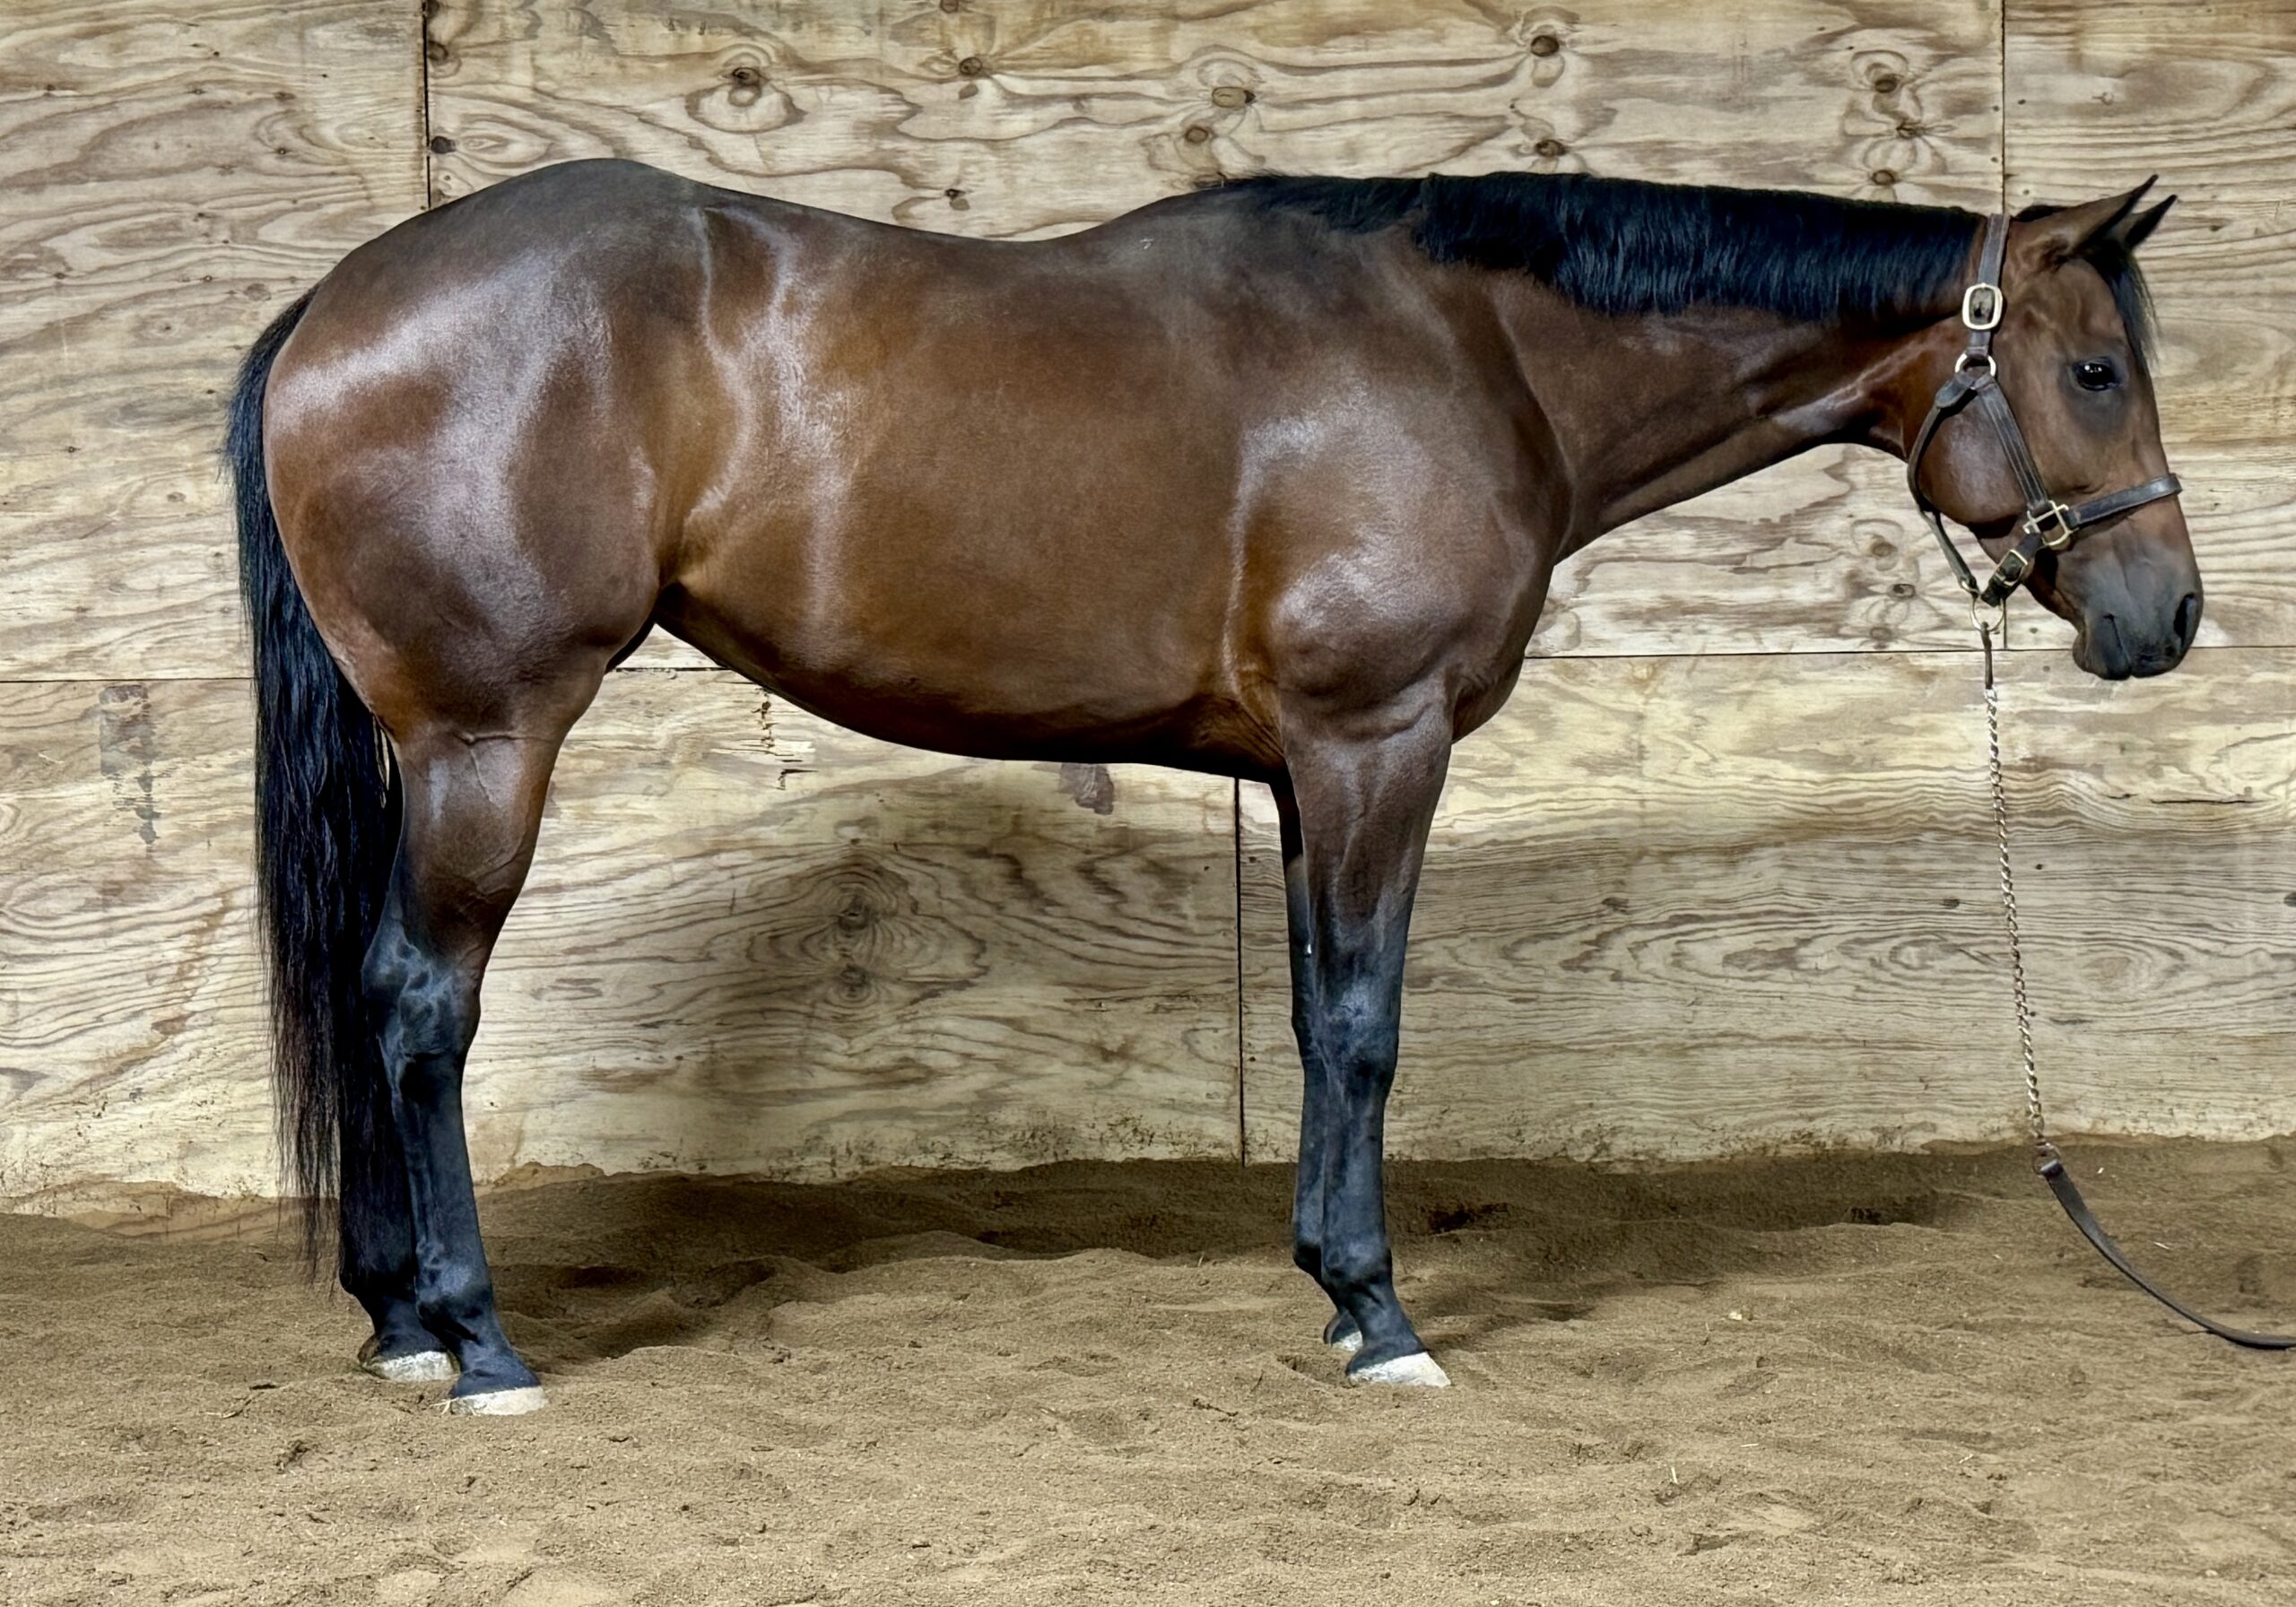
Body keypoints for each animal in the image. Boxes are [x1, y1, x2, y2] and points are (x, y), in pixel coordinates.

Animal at [228, 160, 2194, 1414]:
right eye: (2094, 368)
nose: (2164, 616)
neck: (1472, 353)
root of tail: (337, 303)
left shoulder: (1310, 768)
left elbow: (1323, 1012)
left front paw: (1335, 1285)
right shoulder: (1376, 739)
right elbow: (1367, 1024)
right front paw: (1378, 1312)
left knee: (372, 989)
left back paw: (399, 1318)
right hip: (490, 737)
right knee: (419, 1002)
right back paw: (476, 1341)